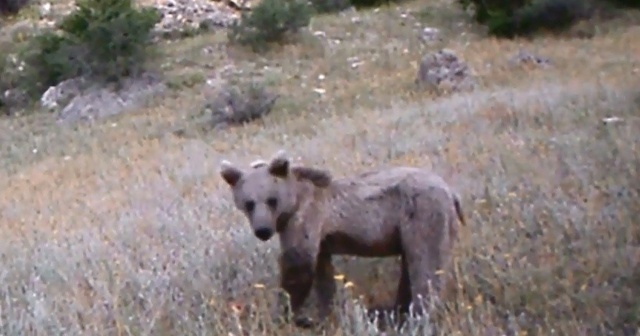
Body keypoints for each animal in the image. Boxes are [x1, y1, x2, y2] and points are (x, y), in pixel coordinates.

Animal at [219, 150, 464, 328]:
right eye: (248, 203)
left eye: (271, 200)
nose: (262, 230)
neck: (294, 201)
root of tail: (451, 192)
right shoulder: (321, 240)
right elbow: (322, 274)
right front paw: (323, 315)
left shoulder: (306, 218)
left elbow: (298, 264)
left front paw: (285, 314)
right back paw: (397, 312)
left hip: (423, 214)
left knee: (426, 265)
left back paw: (418, 316)